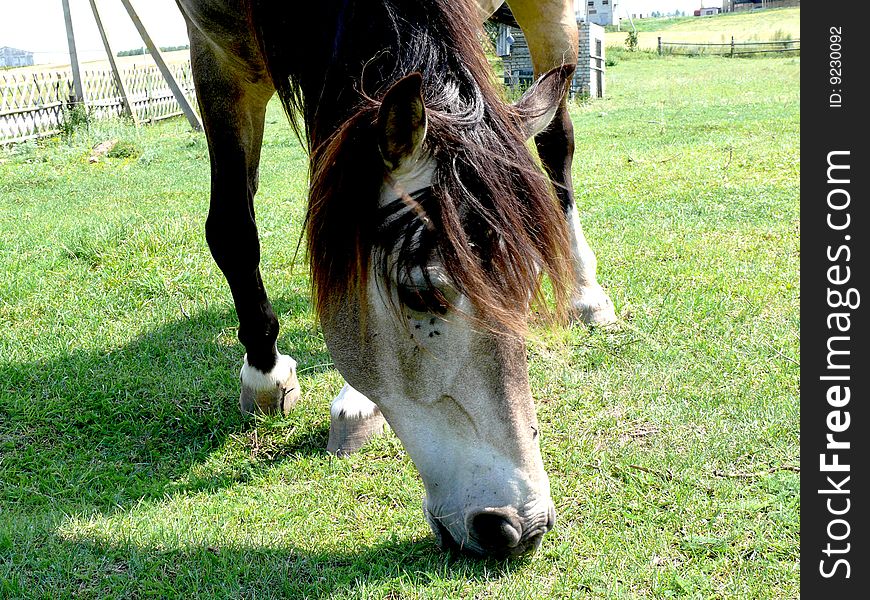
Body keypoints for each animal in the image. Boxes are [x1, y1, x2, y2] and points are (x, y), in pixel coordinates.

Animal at [174, 2, 616, 560]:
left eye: (532, 279)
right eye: (420, 293)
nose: (521, 526)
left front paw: (356, 404)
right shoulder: (214, 53)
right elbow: (232, 228)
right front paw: (264, 371)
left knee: (557, 141)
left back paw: (587, 294)